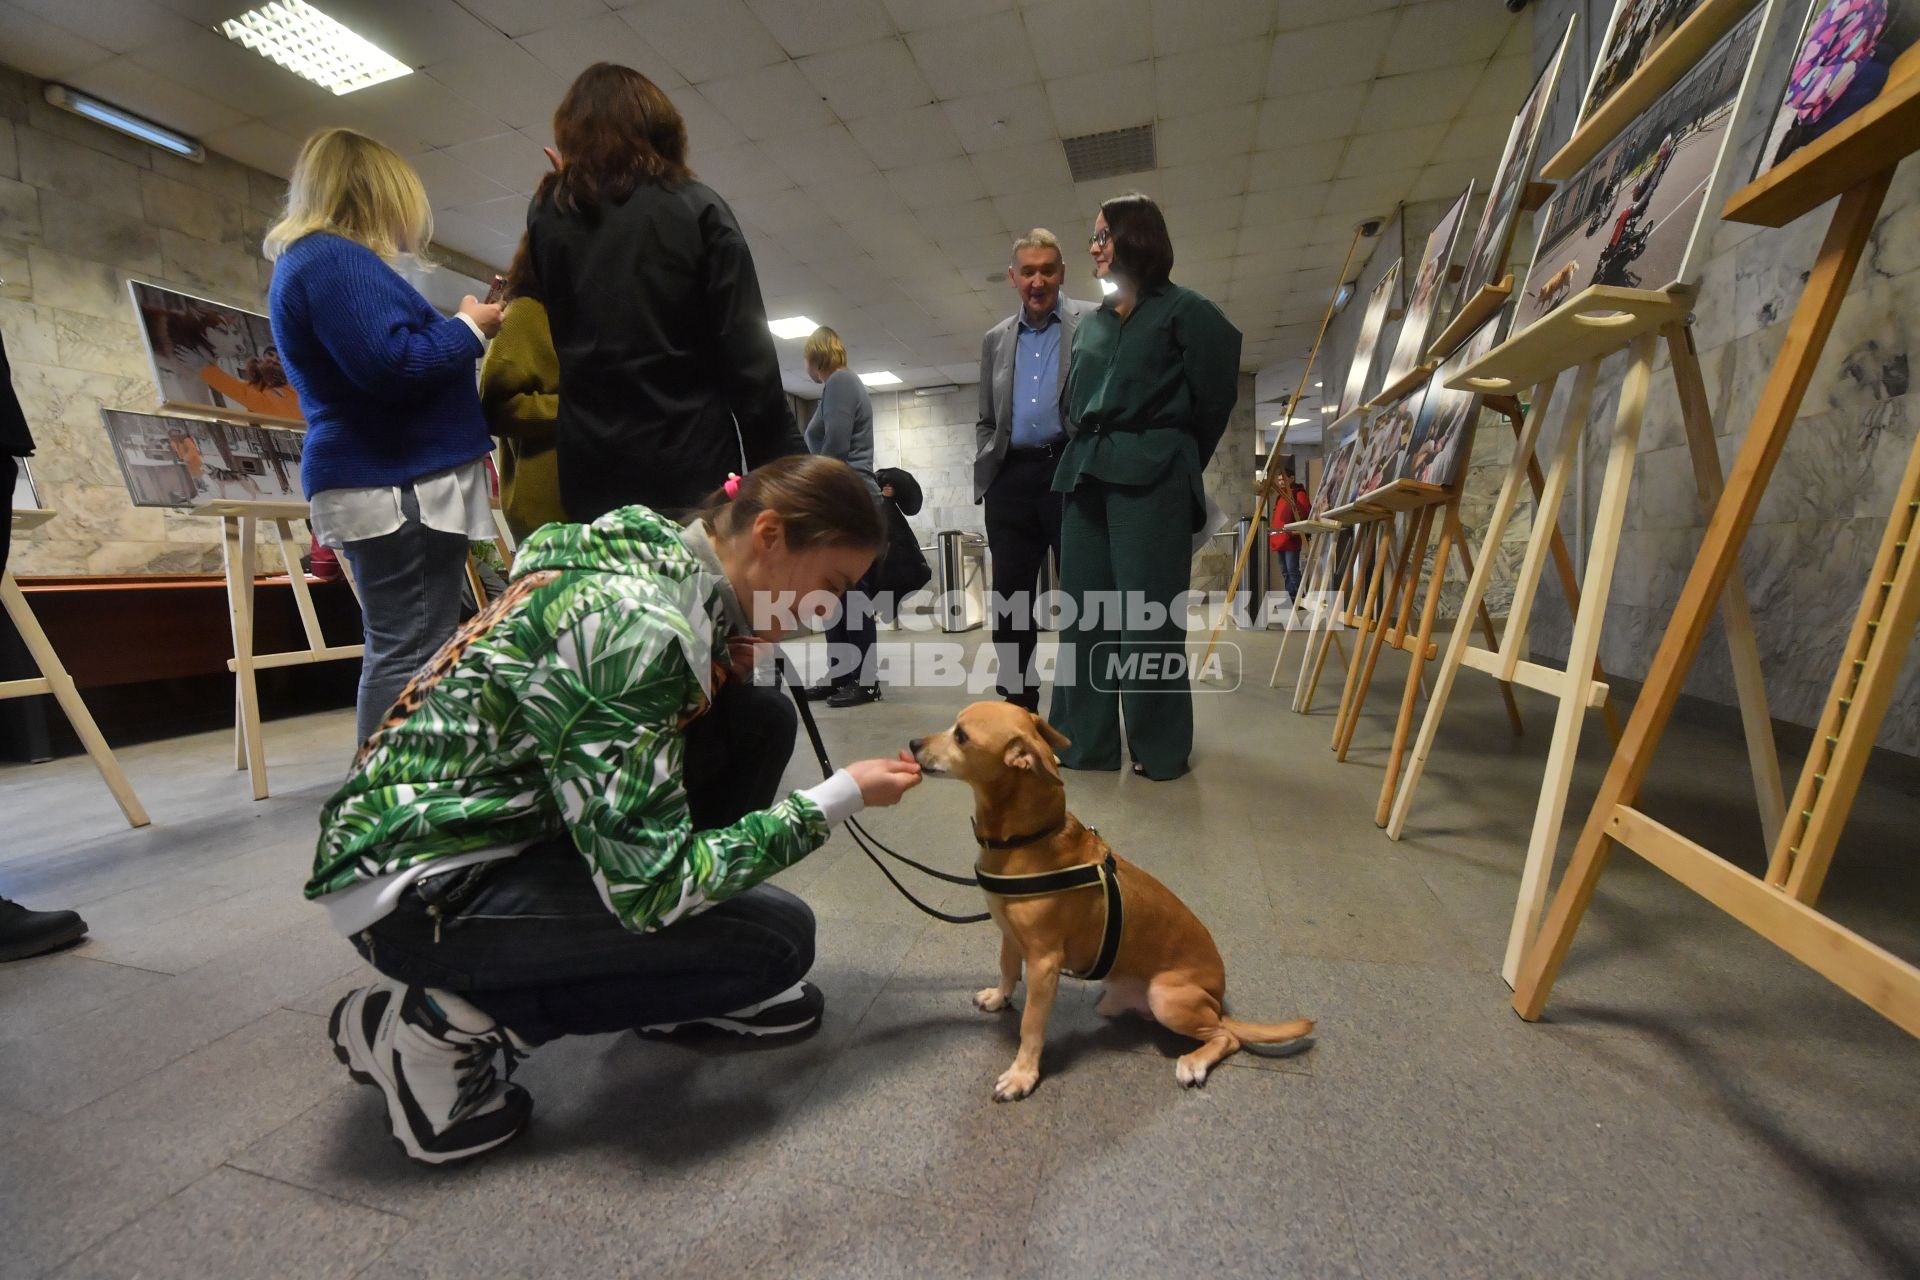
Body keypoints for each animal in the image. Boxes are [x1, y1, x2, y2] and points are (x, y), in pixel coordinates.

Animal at [910, 702, 1305, 1105]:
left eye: (961, 736)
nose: (912, 744)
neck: (1029, 838)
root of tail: (1218, 1000)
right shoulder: (1009, 935)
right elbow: (1006, 969)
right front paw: (998, 997)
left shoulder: (1044, 964)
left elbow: (1031, 1025)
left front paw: (1023, 1075)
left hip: (1167, 996)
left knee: (1228, 1037)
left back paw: (1194, 1063)